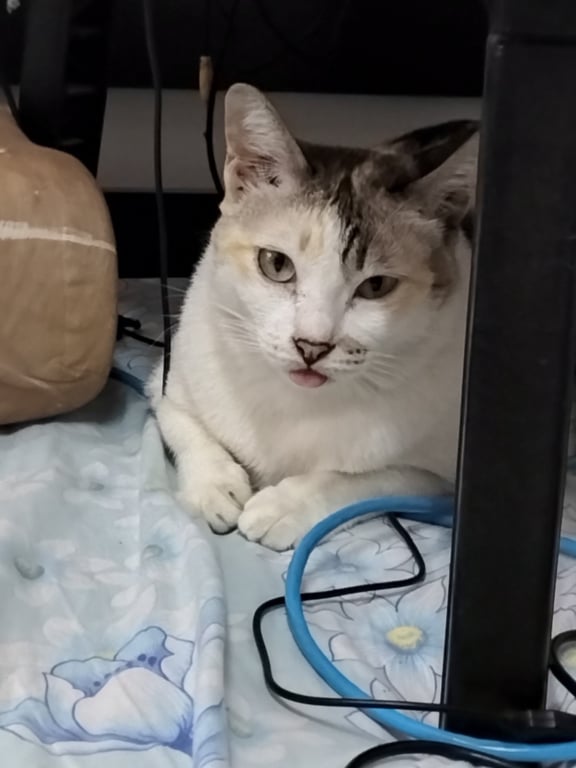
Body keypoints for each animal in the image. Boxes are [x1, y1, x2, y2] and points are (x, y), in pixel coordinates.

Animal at [149, 83, 478, 551]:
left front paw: (284, 505)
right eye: (276, 264)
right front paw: (214, 484)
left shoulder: (441, 477)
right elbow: (181, 422)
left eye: (376, 286)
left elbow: (365, 478)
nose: (311, 345)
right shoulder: (168, 379)